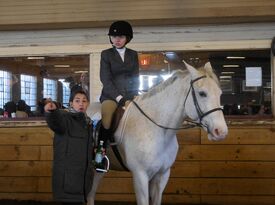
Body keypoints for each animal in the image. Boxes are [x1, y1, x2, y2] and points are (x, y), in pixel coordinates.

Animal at [88, 61, 229, 205]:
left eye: (219, 93)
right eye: (202, 93)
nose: (221, 131)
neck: (157, 130)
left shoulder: (162, 175)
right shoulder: (140, 176)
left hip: (98, 170)